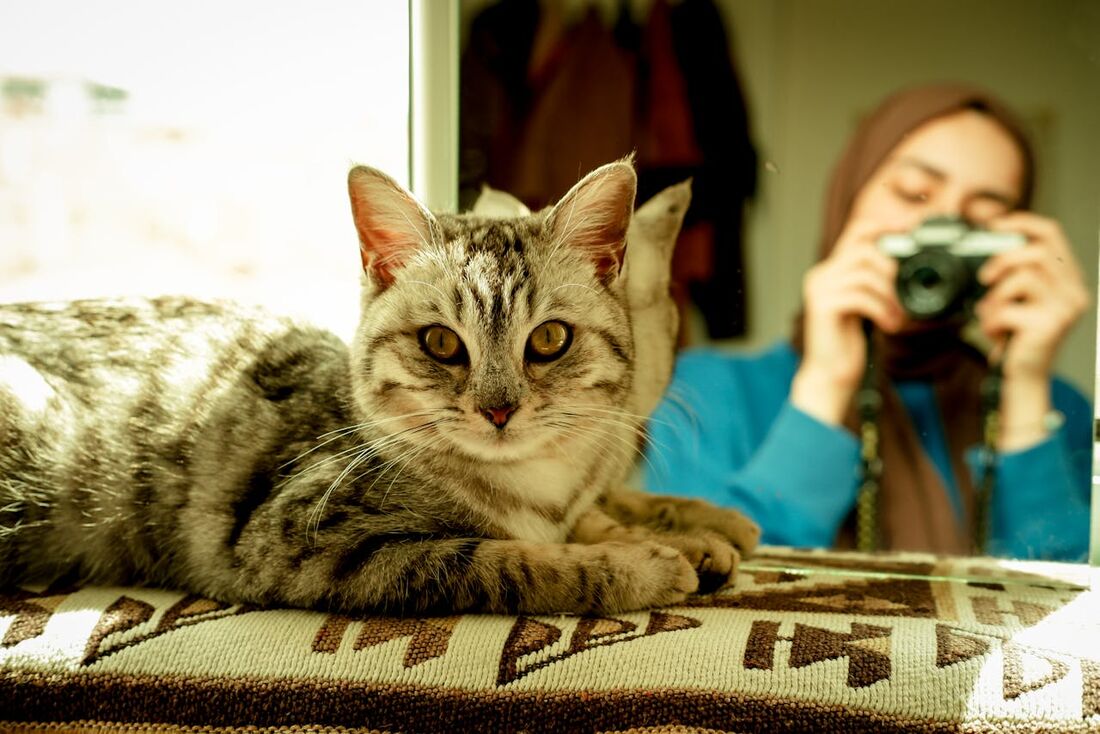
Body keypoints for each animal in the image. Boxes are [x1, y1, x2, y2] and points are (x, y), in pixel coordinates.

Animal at [0, 159, 756, 616]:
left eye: (549, 340)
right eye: (441, 343)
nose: (499, 409)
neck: (536, 487)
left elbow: (593, 516)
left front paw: (692, 538)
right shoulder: (305, 541)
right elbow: (517, 561)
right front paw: (641, 565)